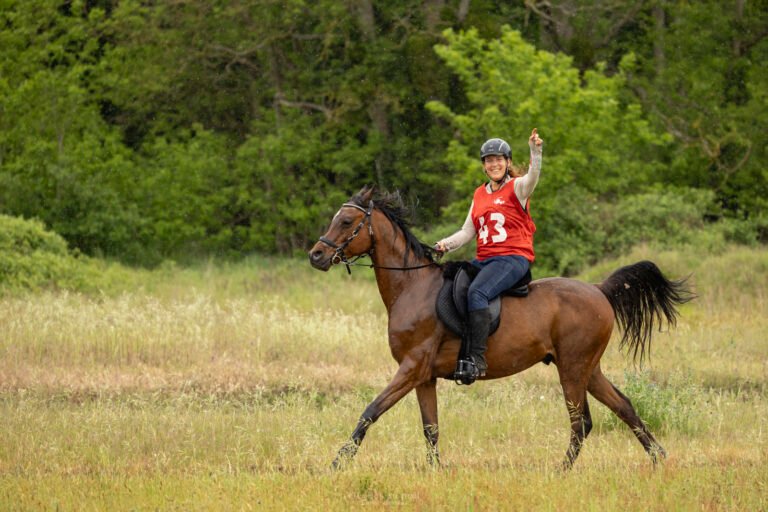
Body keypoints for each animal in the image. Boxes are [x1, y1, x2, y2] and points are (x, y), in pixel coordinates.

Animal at [308, 185, 693, 470]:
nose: (316, 256)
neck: (412, 287)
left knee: (581, 422)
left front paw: (337, 463)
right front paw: (435, 470)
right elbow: (430, 428)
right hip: (588, 368)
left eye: (346, 221)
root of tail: (598, 290)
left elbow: (370, 412)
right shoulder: (424, 376)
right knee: (624, 407)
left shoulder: (411, 367)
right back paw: (659, 459)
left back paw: (562, 471)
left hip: (572, 368)